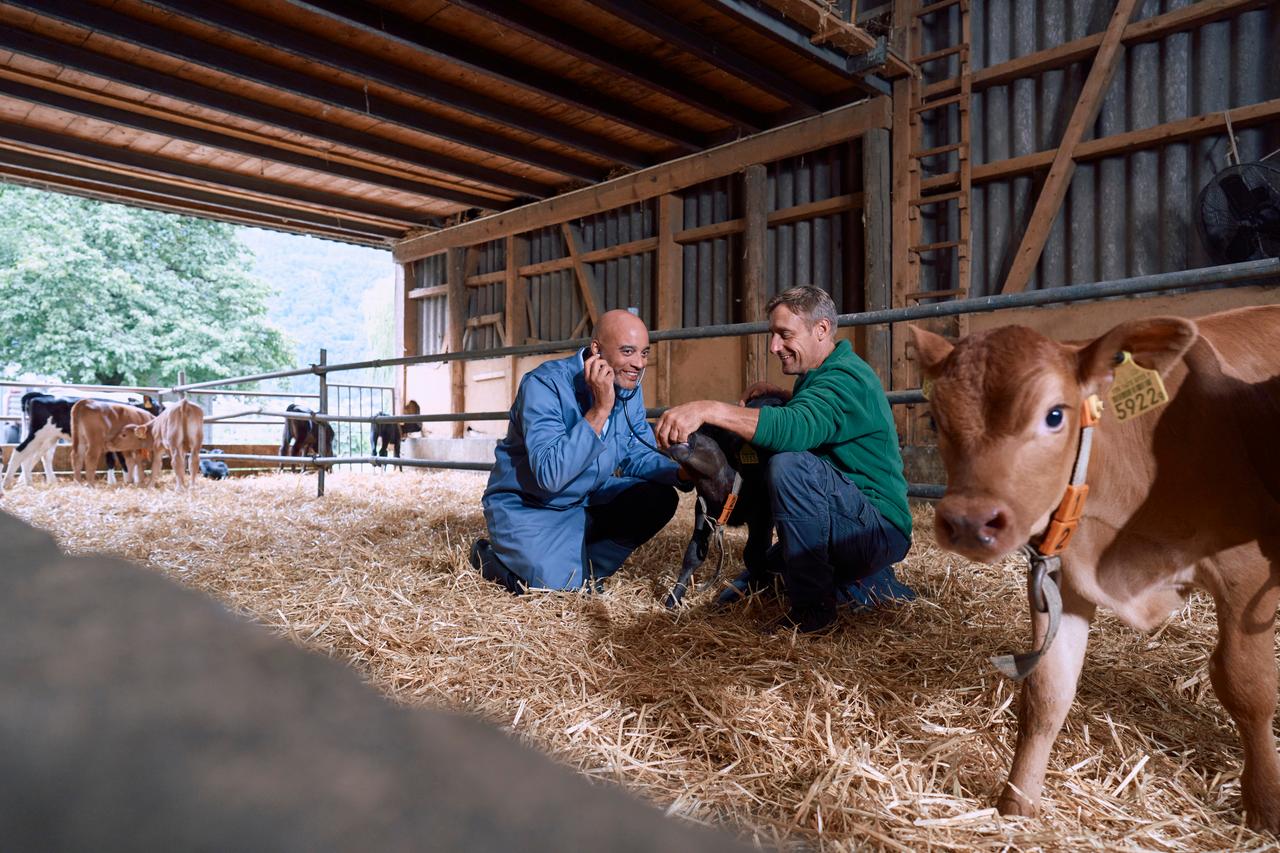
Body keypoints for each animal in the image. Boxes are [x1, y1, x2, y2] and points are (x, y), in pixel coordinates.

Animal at [911, 306, 1280, 829]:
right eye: (934, 419)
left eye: (1055, 415)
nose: (968, 522)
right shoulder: (1061, 580)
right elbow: (1047, 691)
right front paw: (1017, 803)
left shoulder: (1244, 569)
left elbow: (1247, 686)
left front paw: (1266, 806)